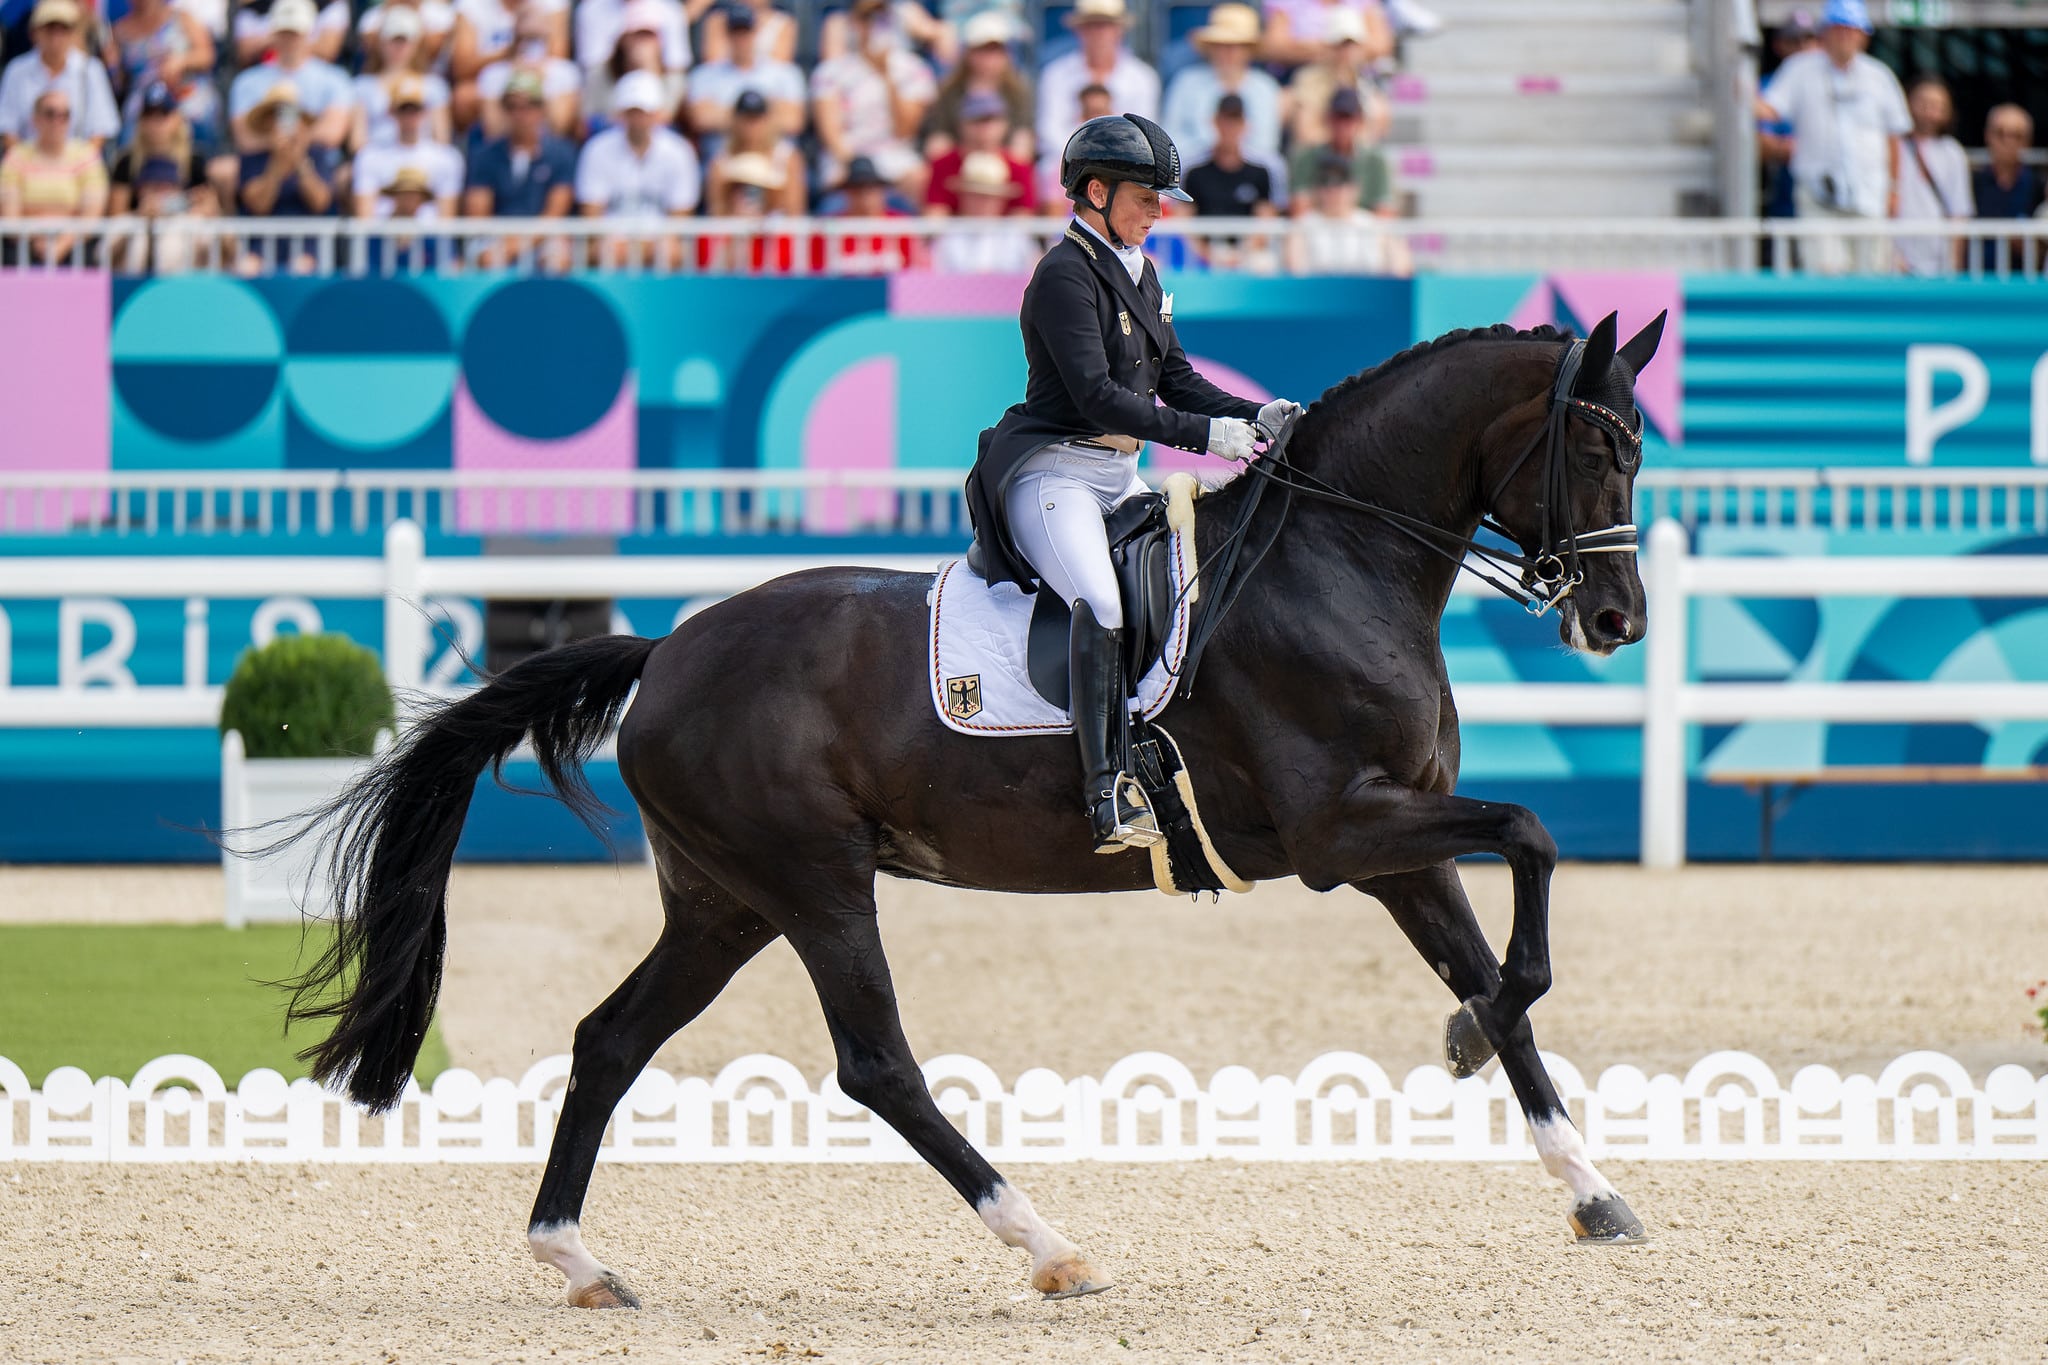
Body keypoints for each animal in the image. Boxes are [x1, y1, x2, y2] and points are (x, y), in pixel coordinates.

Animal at [288, 309, 1662, 1309]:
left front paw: (1584, 1183)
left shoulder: (1398, 839)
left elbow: (1497, 964)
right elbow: (1533, 847)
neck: (1335, 561)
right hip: (814, 884)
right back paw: (1049, 1248)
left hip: (726, 903)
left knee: (610, 1039)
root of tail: (668, 648)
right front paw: (1467, 1041)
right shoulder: (1341, 834)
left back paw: (574, 1259)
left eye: (1639, 451)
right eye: (1598, 451)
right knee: (876, 1063)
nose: (1615, 622)